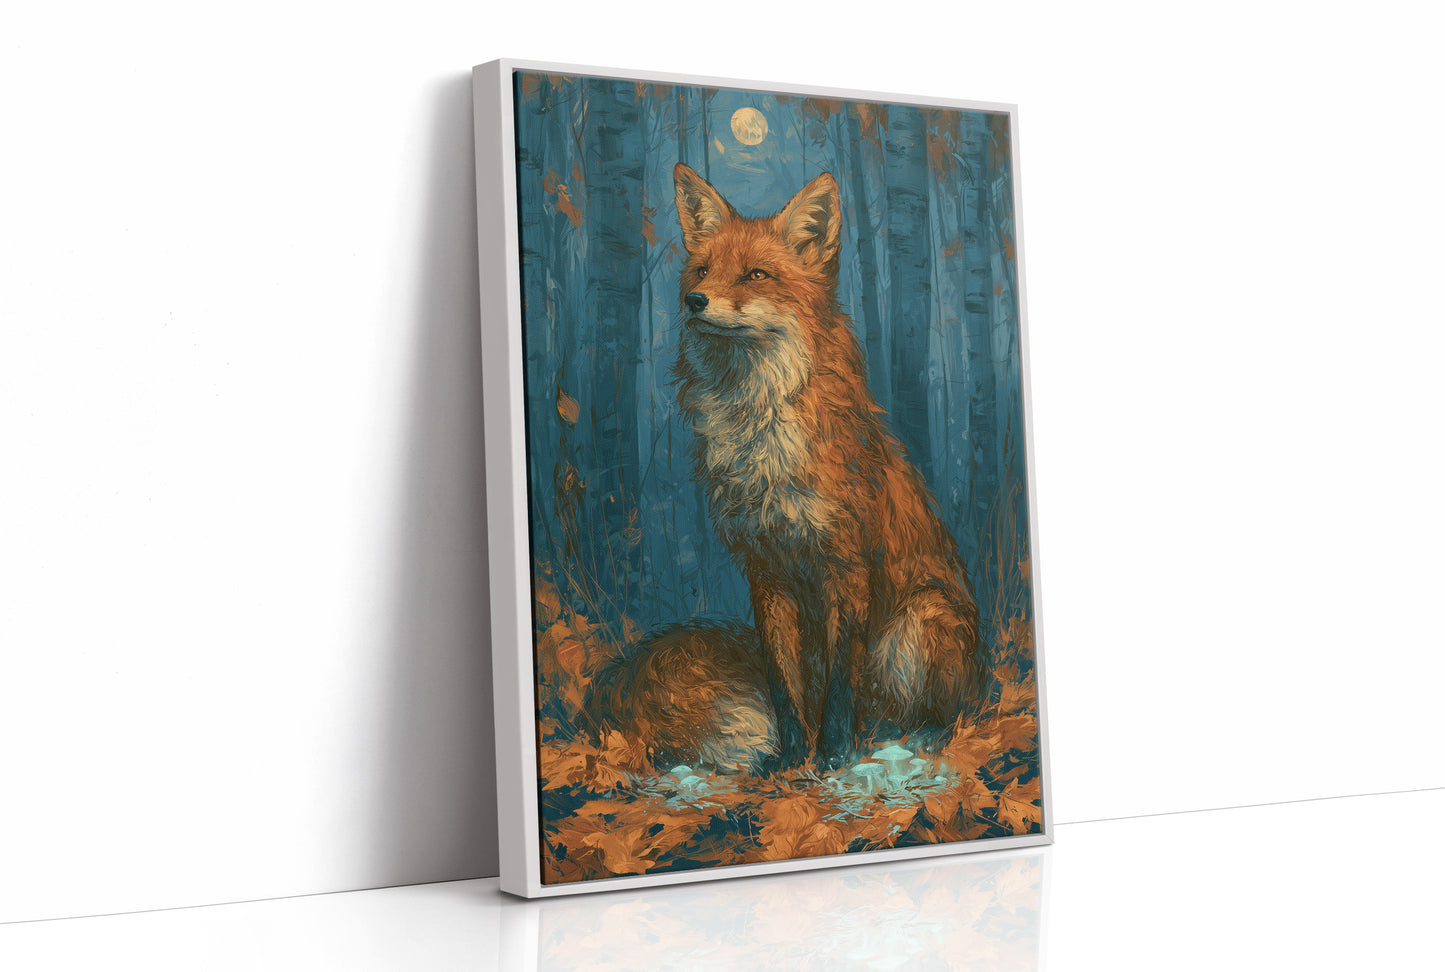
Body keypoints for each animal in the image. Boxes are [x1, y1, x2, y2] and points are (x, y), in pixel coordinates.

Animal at [585, 163, 986, 771]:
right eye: (703, 270)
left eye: (756, 274)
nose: (694, 301)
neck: (759, 435)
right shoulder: (765, 570)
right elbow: (783, 680)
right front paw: (793, 757)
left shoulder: (845, 567)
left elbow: (841, 680)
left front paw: (834, 753)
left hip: (918, 623)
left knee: (943, 713)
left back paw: (915, 738)